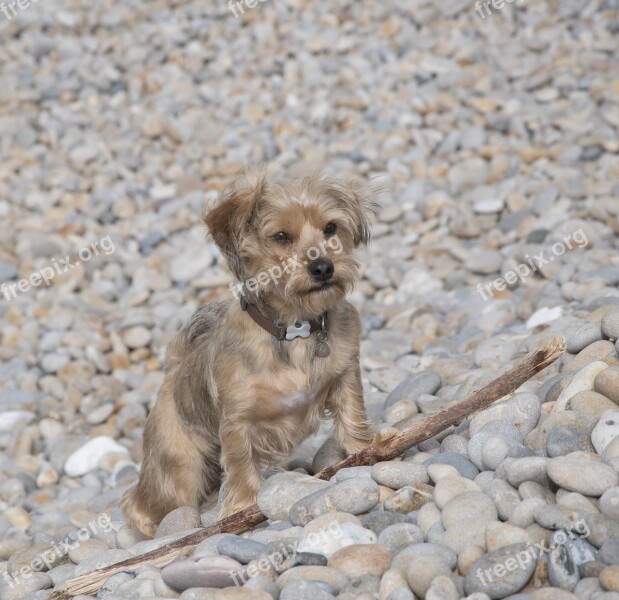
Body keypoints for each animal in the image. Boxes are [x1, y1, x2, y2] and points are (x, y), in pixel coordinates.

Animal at [119, 170, 376, 540]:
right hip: (179, 469)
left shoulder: (346, 377)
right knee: (144, 502)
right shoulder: (237, 423)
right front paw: (240, 510)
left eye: (330, 227)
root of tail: (175, 370)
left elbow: (353, 419)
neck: (295, 330)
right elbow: (241, 465)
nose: (323, 267)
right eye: (281, 236)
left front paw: (365, 453)